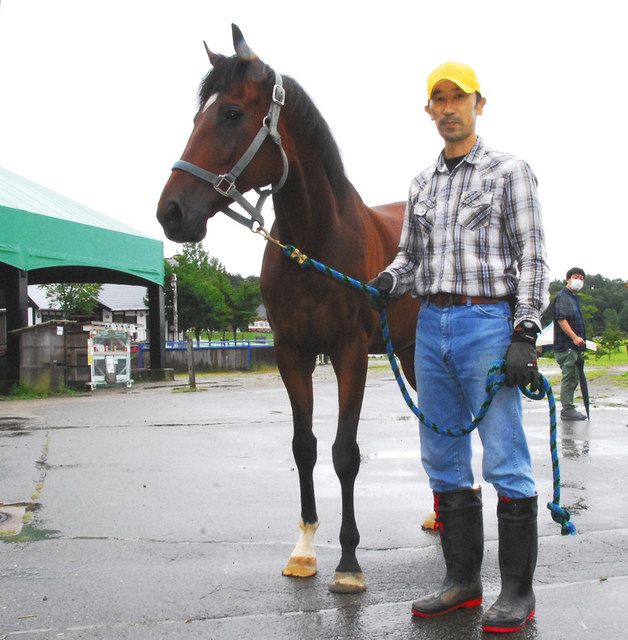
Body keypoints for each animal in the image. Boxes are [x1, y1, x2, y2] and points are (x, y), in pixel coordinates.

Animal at [157, 25, 420, 596]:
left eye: (231, 113)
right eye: (195, 118)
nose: (170, 212)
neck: (316, 243)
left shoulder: (349, 354)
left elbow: (345, 453)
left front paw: (348, 562)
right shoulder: (291, 353)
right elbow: (305, 446)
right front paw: (303, 551)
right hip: (409, 353)